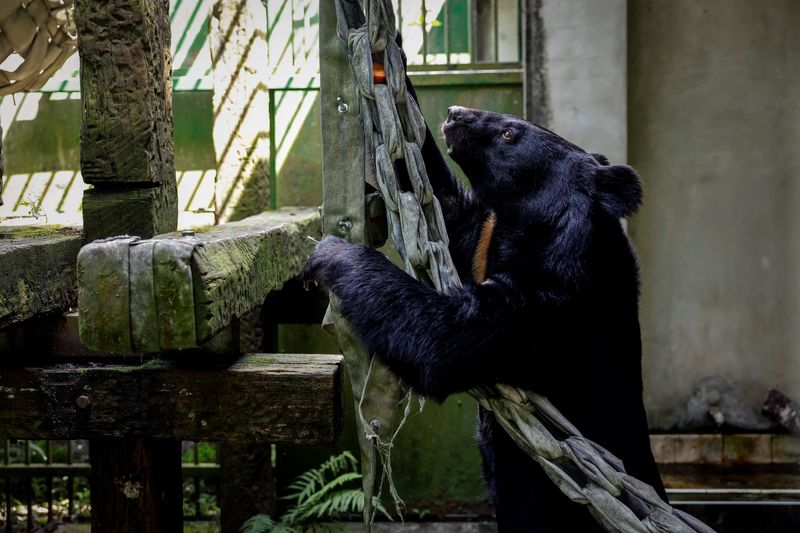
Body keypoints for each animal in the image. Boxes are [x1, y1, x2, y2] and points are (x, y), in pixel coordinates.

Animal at [304, 102, 664, 528]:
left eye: (510, 133)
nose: (455, 112)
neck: (533, 227)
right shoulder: (482, 237)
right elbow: (446, 207)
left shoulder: (553, 306)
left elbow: (443, 337)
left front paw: (331, 253)